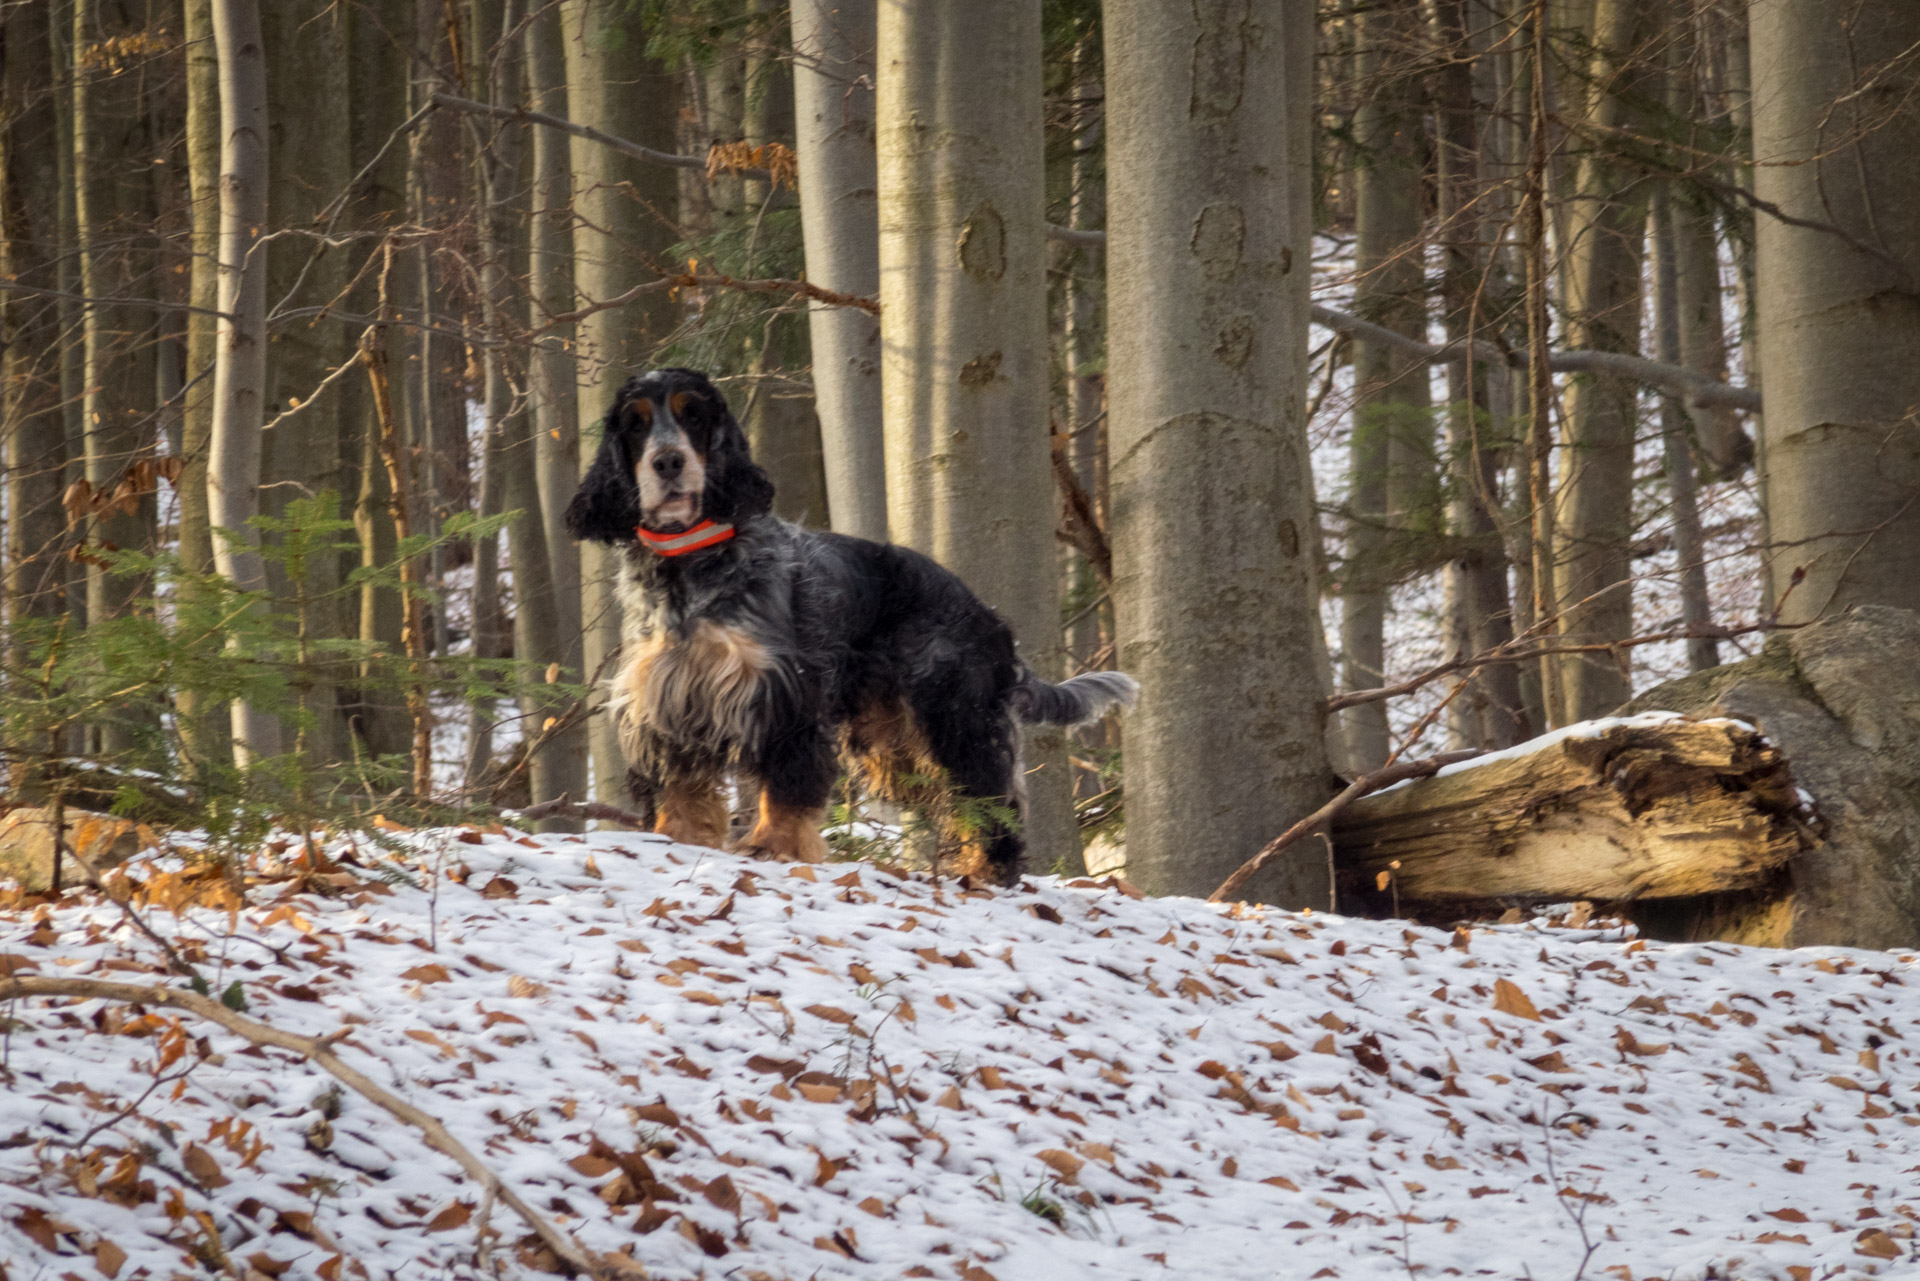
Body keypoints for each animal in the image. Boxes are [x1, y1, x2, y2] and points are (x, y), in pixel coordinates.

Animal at [560, 361, 1128, 883]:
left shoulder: (786, 696)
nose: (668, 461)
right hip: (893, 741)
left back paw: (989, 871)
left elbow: (787, 785)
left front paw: (775, 846)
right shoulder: (667, 702)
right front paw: (676, 839)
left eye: (692, 415)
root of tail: (990, 620)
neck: (688, 567)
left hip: (955, 716)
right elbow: (681, 790)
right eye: (635, 424)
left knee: (990, 801)